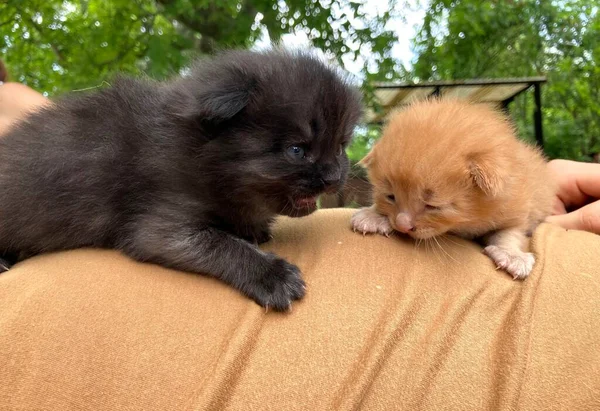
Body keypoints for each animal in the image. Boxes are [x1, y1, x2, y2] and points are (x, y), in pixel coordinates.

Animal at [0, 47, 360, 312]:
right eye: (297, 150)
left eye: (340, 147)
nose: (333, 177)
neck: (197, 151)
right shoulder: (159, 221)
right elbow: (221, 244)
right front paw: (271, 275)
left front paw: (252, 229)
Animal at [352, 98, 556, 280]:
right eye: (390, 196)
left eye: (432, 206)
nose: (402, 226)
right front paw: (372, 215)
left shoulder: (517, 211)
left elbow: (509, 234)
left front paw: (512, 255)